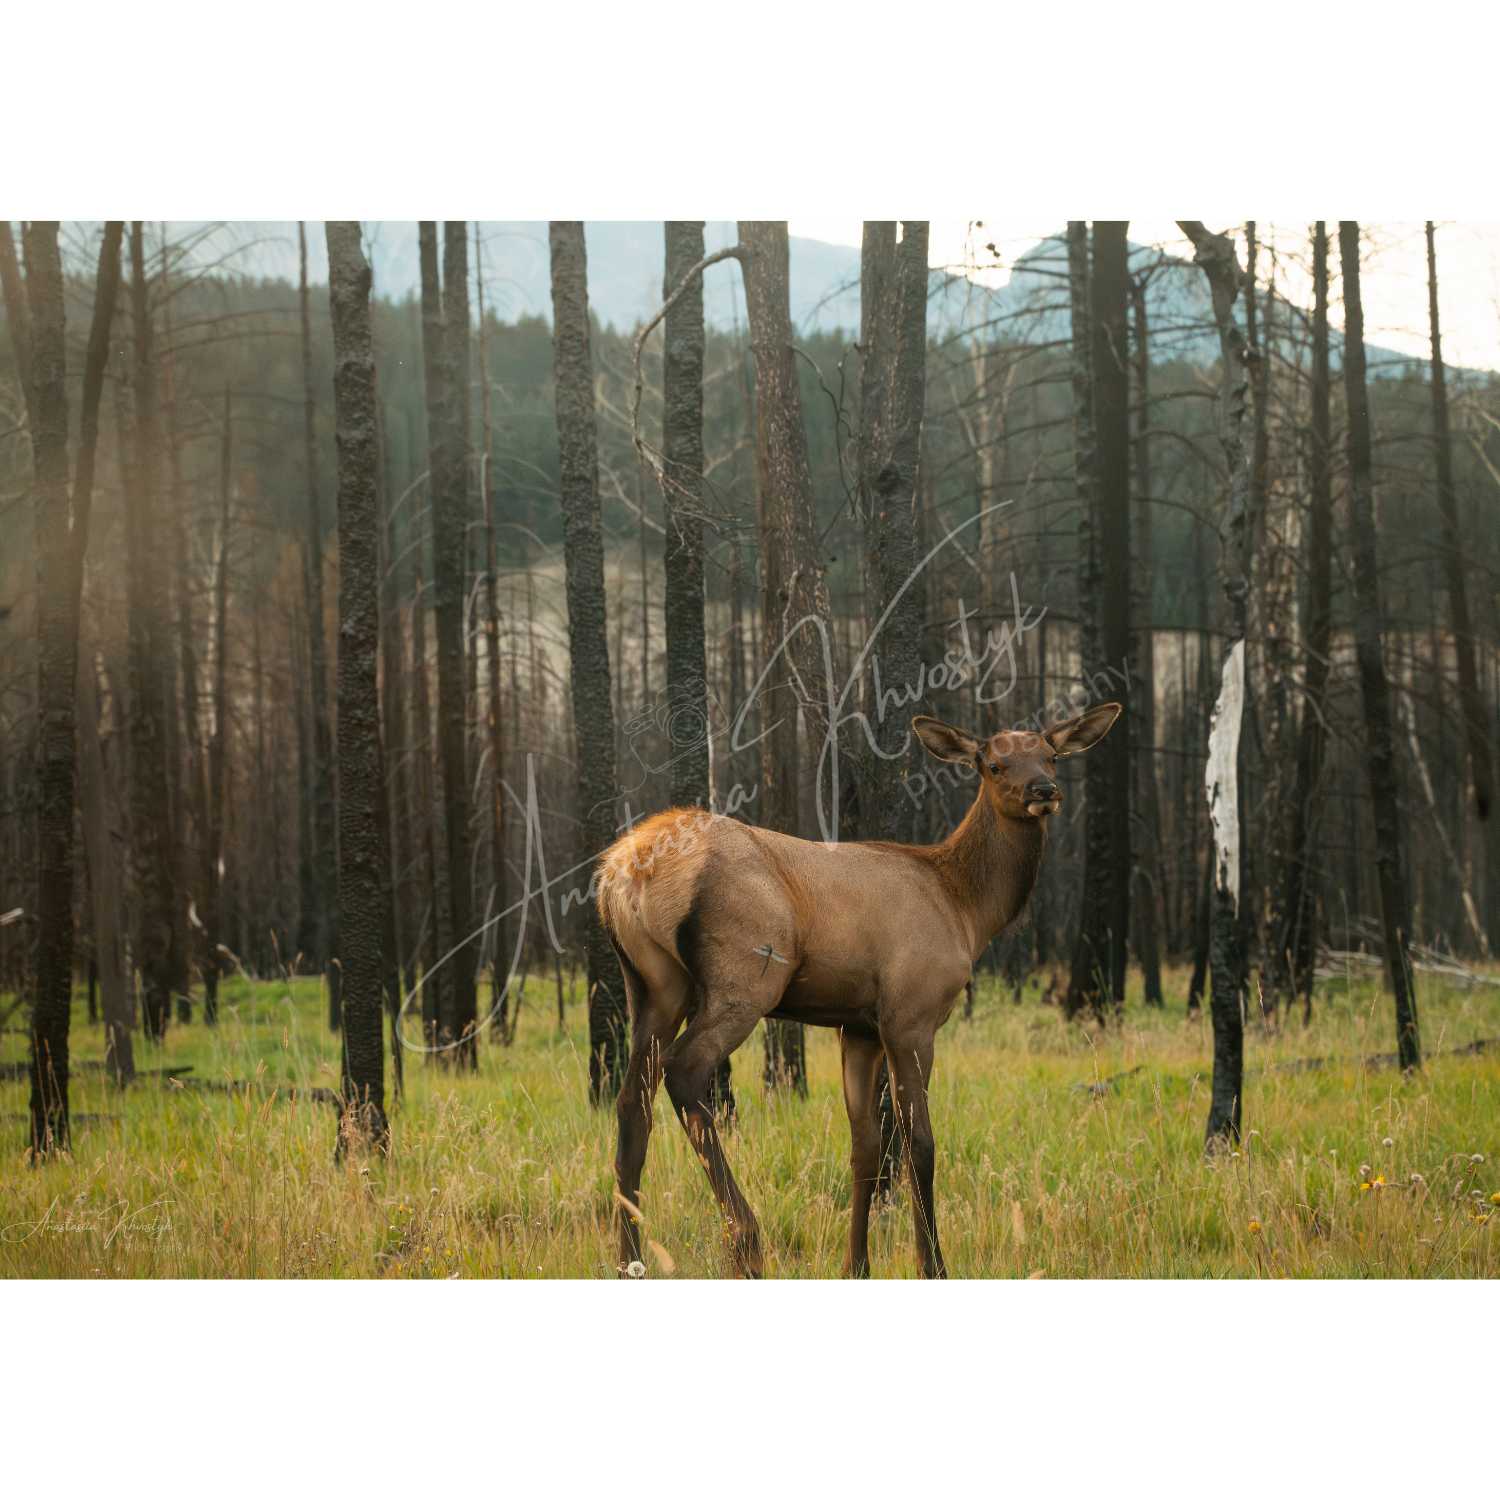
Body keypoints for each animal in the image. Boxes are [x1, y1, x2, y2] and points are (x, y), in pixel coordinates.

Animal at [597, 702, 1120, 1279]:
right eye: (993, 765)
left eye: (1051, 755)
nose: (1044, 790)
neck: (967, 910)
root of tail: (624, 872)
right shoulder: (911, 1015)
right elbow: (918, 1144)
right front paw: (932, 1264)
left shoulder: (858, 1026)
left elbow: (864, 1147)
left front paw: (857, 1263)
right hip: (745, 977)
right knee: (685, 1071)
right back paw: (747, 1240)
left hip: (654, 986)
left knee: (631, 1101)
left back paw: (629, 1258)